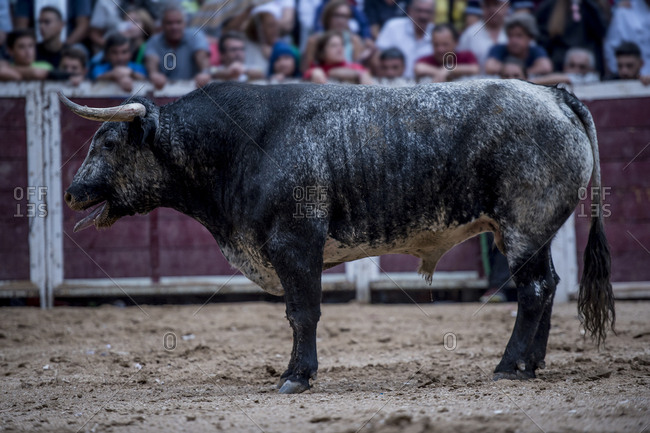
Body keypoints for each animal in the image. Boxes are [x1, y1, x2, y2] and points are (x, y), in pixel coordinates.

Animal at [60, 79, 615, 394]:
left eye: (107, 143)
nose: (70, 192)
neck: (237, 144)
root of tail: (554, 95)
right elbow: (299, 313)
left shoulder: (294, 245)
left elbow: (302, 312)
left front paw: (296, 377)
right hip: (530, 232)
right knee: (546, 286)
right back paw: (529, 364)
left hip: (523, 226)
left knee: (533, 289)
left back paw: (508, 366)